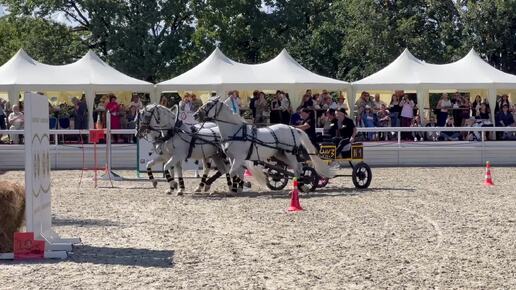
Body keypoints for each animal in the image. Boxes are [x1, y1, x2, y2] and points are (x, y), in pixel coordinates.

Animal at [195, 97, 334, 193]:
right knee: (296, 168)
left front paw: (244, 185)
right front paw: (236, 188)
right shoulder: (232, 158)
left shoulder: (239, 158)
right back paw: (300, 186)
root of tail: (293, 128)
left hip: (289, 153)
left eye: (209, 104)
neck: (235, 132)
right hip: (280, 155)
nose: (196, 114)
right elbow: (236, 172)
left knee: (298, 168)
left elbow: (233, 171)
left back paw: (302, 186)